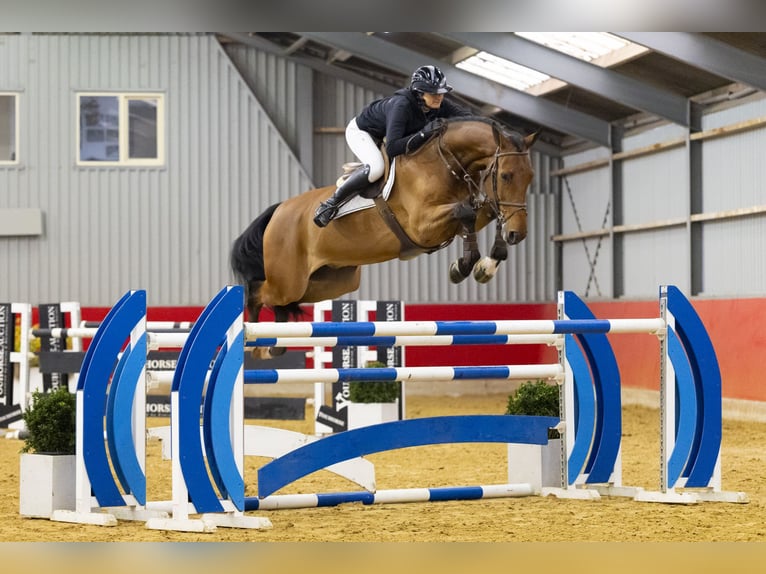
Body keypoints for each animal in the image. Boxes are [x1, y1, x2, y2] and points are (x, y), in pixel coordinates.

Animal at [231, 116, 538, 355]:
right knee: (257, 292)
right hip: (289, 280)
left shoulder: (471, 208)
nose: (519, 234)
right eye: (507, 176)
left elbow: (485, 211)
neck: (444, 161)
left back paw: (275, 342)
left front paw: (485, 265)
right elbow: (466, 213)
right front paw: (464, 266)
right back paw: (252, 341)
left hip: (330, 283)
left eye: (530, 177)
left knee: (280, 301)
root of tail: (278, 211)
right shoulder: (421, 225)